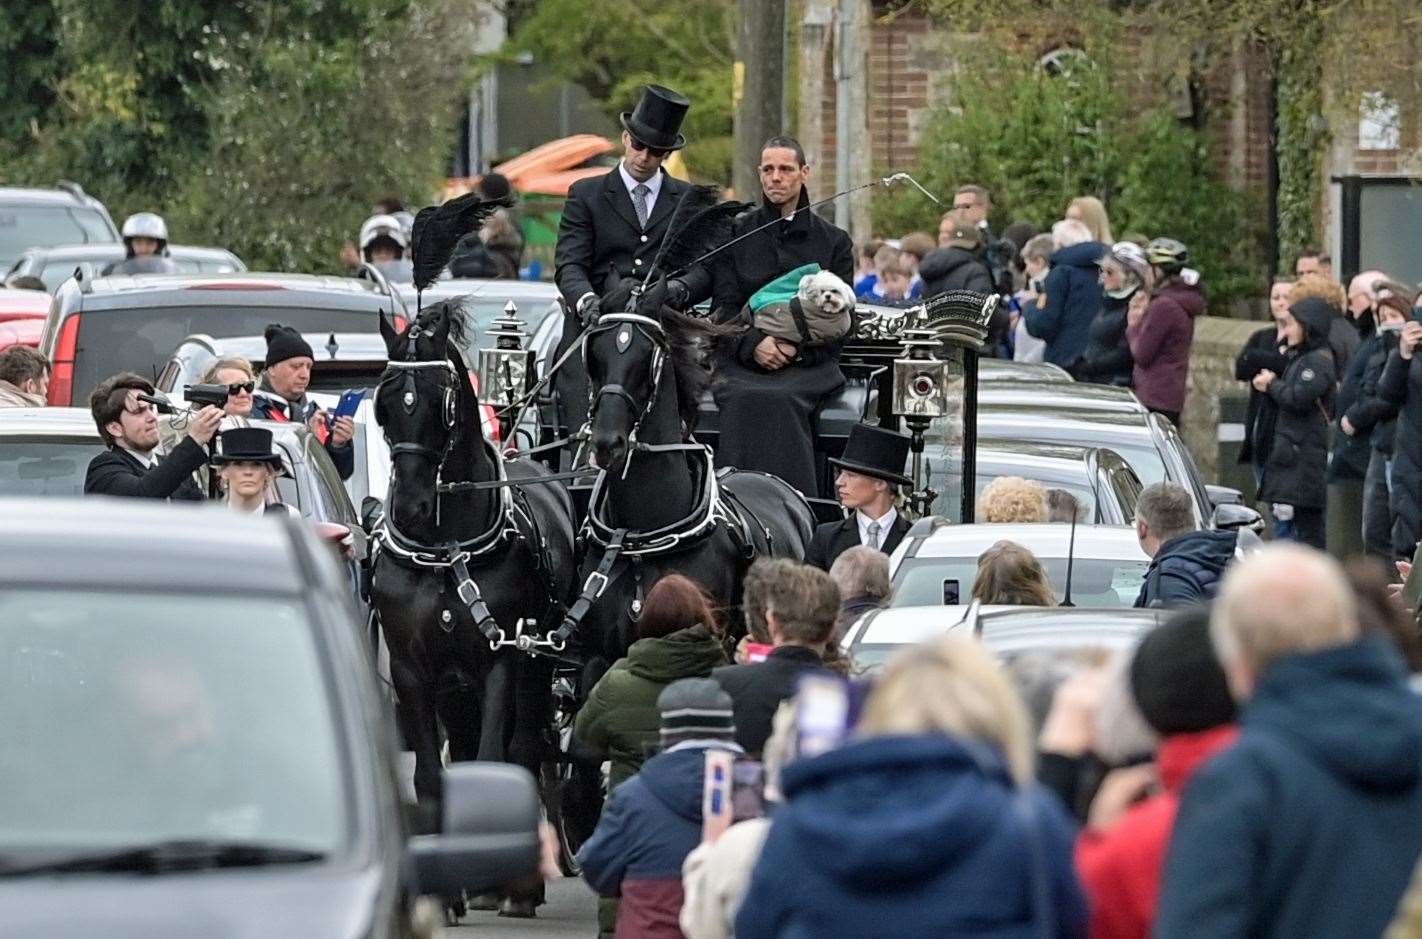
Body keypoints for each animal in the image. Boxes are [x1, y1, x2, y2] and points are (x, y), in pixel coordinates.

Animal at [375, 303, 580, 819]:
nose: (410, 507)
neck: (446, 553)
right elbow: (431, 778)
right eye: (384, 405)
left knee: (525, 748)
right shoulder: (410, 669)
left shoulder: (501, 660)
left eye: (442, 403)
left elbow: (495, 762)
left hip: (535, 666)